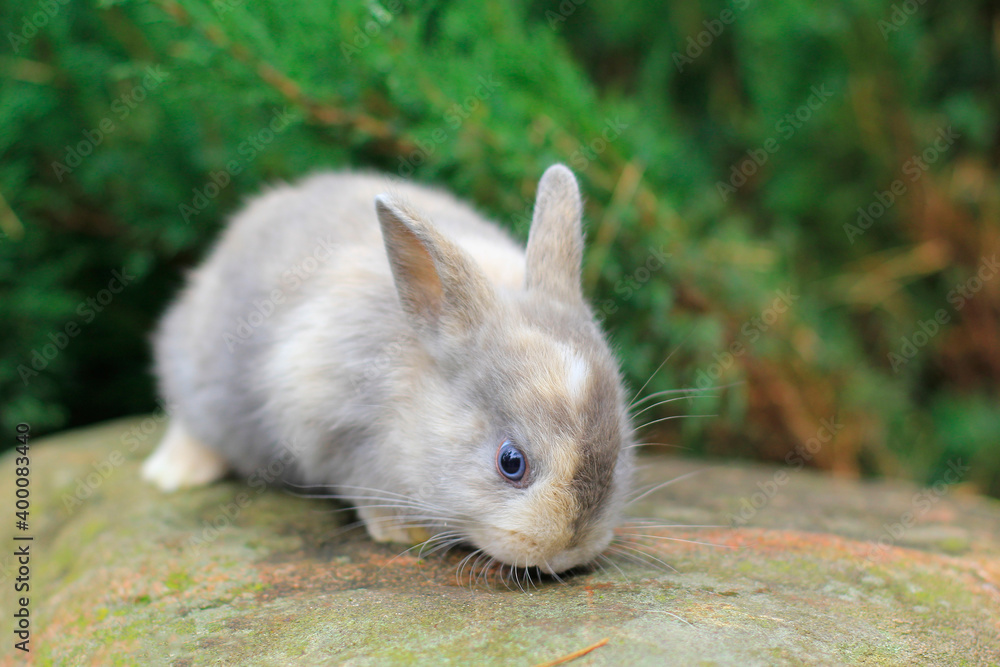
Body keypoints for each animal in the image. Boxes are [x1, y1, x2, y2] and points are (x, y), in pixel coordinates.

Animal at [142, 164, 636, 575]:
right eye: (511, 463)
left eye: (618, 453)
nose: (568, 552)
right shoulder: (327, 419)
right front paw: (400, 530)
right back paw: (173, 474)